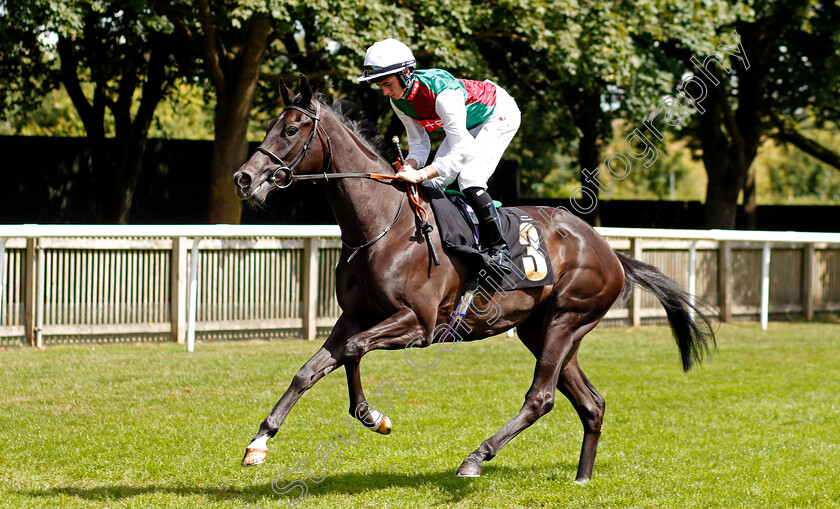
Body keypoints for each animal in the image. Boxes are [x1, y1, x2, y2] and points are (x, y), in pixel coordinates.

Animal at [233, 74, 712, 480]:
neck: (381, 225)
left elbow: (353, 351)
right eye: (270, 126)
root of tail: (610, 252)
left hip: (567, 319)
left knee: (541, 398)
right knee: (590, 403)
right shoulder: (353, 317)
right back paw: (581, 477)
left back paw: (476, 458)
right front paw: (259, 441)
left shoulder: (419, 324)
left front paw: (373, 416)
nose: (244, 178)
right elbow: (308, 371)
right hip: (543, 329)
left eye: (291, 129)